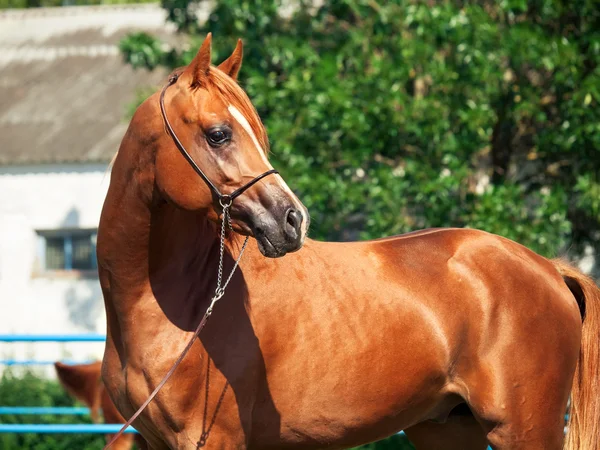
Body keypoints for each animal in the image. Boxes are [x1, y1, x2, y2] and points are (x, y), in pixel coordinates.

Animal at [98, 34, 600, 450]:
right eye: (218, 134)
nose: (292, 220)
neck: (180, 304)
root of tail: (549, 267)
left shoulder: (214, 440)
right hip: (448, 429)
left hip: (523, 430)